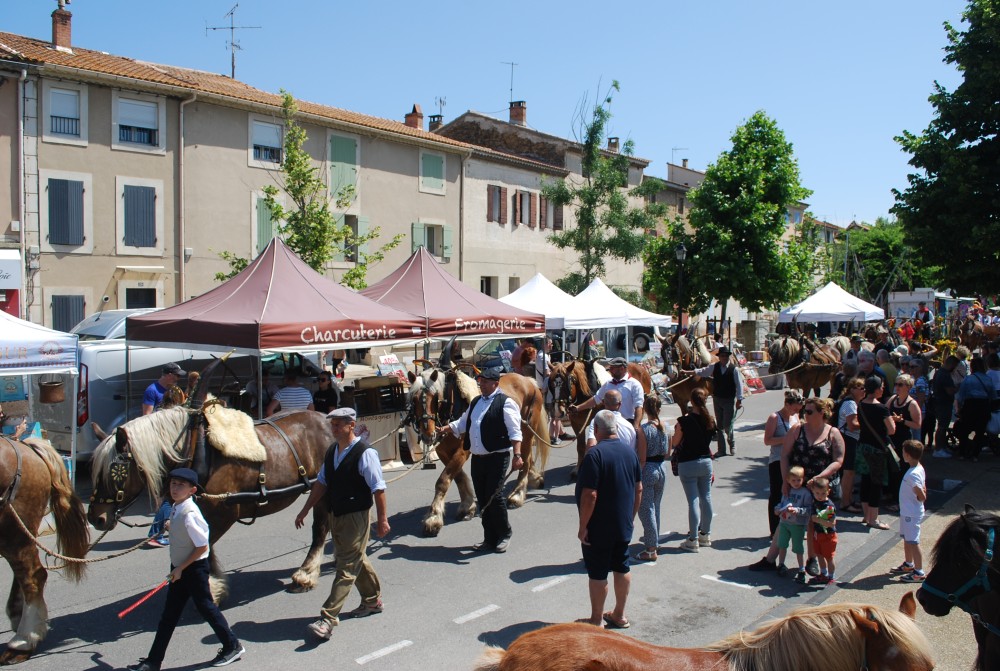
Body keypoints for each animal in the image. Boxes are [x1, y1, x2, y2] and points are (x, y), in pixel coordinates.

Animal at [88, 362, 334, 600]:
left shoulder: (223, 513)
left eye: (116, 471)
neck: (195, 446)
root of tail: (327, 419)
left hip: (321, 489)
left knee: (320, 527)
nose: (96, 518)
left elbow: (204, 547)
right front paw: (213, 585)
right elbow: (202, 547)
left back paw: (305, 574)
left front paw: (209, 587)